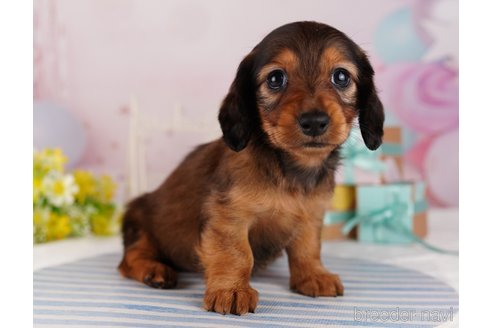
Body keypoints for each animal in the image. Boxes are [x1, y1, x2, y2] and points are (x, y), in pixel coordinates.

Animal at [119, 21, 384, 316]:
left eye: (341, 76)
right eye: (275, 78)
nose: (314, 121)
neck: (289, 170)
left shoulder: (310, 216)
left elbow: (308, 248)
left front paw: (313, 275)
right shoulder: (230, 215)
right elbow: (236, 253)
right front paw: (231, 290)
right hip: (140, 223)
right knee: (130, 258)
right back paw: (155, 271)